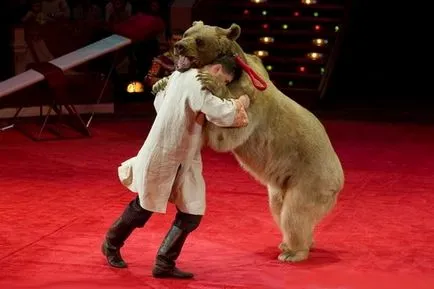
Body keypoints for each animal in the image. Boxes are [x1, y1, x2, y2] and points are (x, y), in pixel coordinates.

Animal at [171, 21, 344, 262]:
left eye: (199, 40)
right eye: (186, 33)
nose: (178, 46)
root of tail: (340, 178)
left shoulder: (252, 101)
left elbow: (228, 134)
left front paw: (210, 82)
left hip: (311, 178)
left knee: (294, 213)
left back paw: (293, 252)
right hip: (285, 182)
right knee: (279, 209)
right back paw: (292, 243)